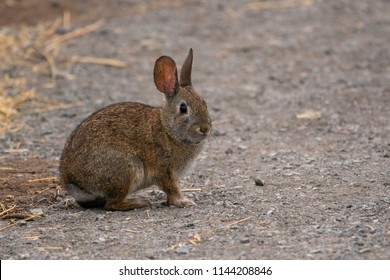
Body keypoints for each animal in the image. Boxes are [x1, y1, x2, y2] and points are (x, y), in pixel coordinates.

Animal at [58, 48, 210, 210]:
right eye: (183, 108)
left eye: (205, 104)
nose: (205, 129)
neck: (168, 130)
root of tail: (73, 183)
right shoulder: (164, 171)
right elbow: (172, 189)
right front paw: (183, 201)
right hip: (127, 169)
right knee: (112, 203)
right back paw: (139, 202)